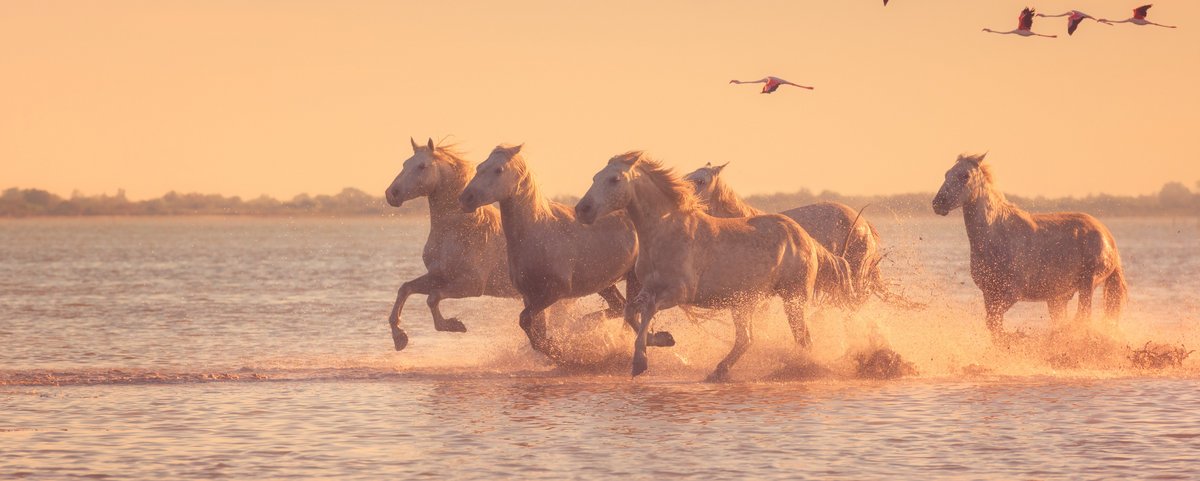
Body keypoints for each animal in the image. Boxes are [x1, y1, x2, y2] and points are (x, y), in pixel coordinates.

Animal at [383, 138, 518, 351]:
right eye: (405, 164)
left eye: (422, 166)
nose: (391, 194)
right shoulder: (439, 275)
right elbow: (405, 288)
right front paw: (400, 337)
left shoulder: (472, 284)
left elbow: (433, 298)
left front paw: (454, 325)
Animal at [458, 144, 675, 359]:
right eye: (480, 167)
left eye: (498, 170)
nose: (465, 198)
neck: (536, 232)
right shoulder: (529, 294)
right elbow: (534, 329)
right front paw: (557, 349)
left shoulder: (555, 291)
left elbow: (525, 321)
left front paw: (559, 351)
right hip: (605, 283)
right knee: (620, 307)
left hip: (634, 278)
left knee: (630, 311)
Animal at [576, 152, 834, 381]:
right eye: (595, 177)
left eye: (614, 179)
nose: (582, 210)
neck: (664, 231)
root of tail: (807, 238)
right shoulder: (647, 288)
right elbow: (630, 312)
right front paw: (663, 338)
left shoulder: (678, 293)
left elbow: (647, 312)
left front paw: (641, 360)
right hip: (744, 303)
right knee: (747, 339)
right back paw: (718, 371)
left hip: (793, 299)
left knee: (802, 339)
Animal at [932, 153, 1127, 341]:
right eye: (946, 174)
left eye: (965, 175)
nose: (938, 203)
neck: (997, 234)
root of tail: (1109, 239)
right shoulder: (989, 293)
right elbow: (994, 326)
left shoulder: (1012, 293)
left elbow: (993, 323)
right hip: (1058, 297)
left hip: (1087, 283)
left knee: (1082, 317)